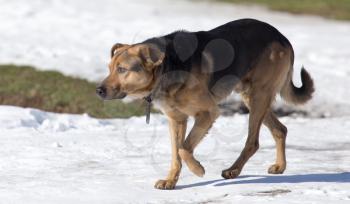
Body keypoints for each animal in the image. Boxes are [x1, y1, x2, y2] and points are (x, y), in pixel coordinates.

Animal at [96, 18, 314, 190]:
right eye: (110, 68)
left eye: (122, 70)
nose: (98, 91)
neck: (167, 68)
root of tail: (283, 38)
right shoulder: (176, 119)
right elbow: (176, 153)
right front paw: (170, 181)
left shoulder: (207, 113)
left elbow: (184, 149)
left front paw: (198, 169)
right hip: (252, 96)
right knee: (280, 130)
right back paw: (279, 166)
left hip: (258, 96)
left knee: (253, 142)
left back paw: (233, 170)